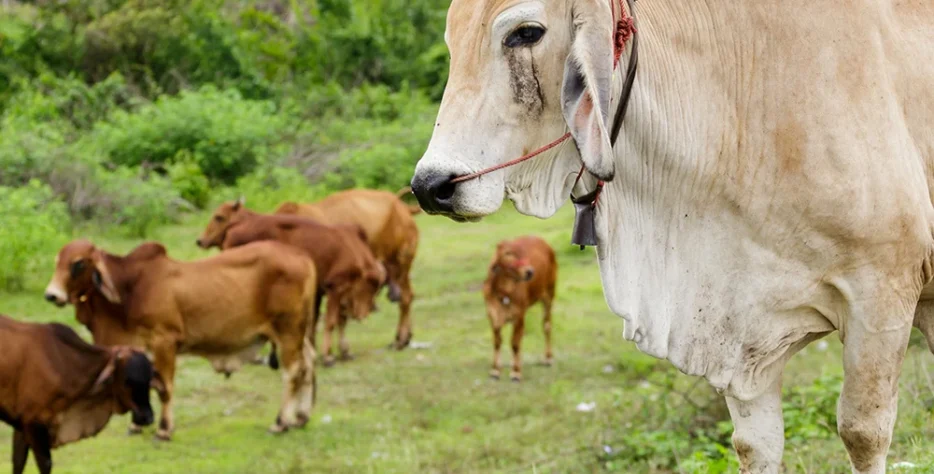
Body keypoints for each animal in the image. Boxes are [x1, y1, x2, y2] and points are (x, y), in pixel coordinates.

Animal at [0, 314, 155, 474]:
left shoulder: (21, 423)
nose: (147, 417)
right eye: (127, 381)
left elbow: (18, 462)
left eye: (149, 378)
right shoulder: (33, 422)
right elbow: (45, 463)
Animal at [43, 239, 317, 441]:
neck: (130, 288)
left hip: (287, 330)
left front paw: (164, 430)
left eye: (78, 263)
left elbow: (164, 388)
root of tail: (302, 257)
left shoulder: (165, 341)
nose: (51, 295)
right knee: (308, 364)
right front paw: (136, 426)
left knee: (293, 372)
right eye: (57, 261)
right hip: (297, 333)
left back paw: (280, 422)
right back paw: (301, 417)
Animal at [196, 199, 385, 366]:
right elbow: (331, 322)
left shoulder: (322, 292)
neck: (353, 250)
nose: (200, 240)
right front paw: (328, 357)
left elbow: (328, 321)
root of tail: (235, 228)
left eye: (219, 217)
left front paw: (341, 352)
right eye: (372, 286)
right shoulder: (335, 289)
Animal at [274, 187, 420, 350]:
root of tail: (402, 207)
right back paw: (404, 338)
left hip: (400, 265)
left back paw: (400, 340)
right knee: (408, 295)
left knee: (405, 298)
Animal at [483, 236, 557, 382]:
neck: (504, 293)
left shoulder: (519, 315)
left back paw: (548, 358)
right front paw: (495, 370)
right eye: (508, 253)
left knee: (547, 325)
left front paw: (516, 372)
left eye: (524, 253)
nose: (529, 272)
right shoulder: (493, 315)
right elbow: (497, 342)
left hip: (549, 294)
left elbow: (515, 343)